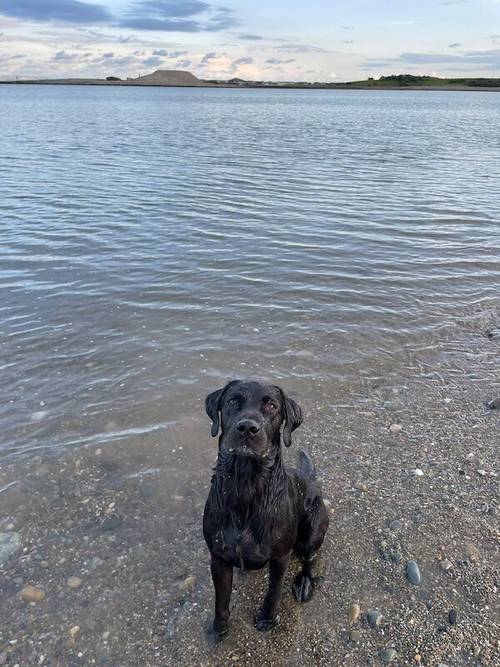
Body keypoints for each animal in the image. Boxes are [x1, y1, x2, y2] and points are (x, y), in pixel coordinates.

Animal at [203, 380, 328, 636]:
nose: (247, 428)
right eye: (232, 401)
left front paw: (267, 619)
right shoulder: (218, 557)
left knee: (310, 560)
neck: (246, 486)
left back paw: (304, 583)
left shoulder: (280, 558)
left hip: (314, 529)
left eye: (271, 405)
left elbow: (273, 592)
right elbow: (221, 598)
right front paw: (219, 629)